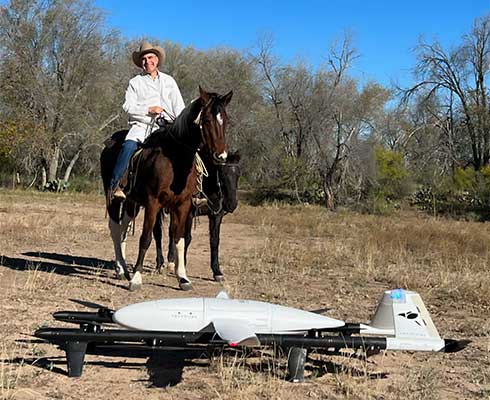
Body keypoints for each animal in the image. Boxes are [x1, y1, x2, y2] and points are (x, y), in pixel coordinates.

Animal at [100, 87, 233, 290]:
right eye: (207, 120)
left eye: (225, 120)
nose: (221, 156)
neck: (176, 159)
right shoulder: (153, 203)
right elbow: (146, 238)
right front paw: (136, 278)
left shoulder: (183, 205)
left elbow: (179, 239)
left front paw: (183, 278)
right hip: (115, 199)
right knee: (115, 229)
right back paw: (123, 270)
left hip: (132, 203)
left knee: (123, 228)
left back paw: (121, 268)